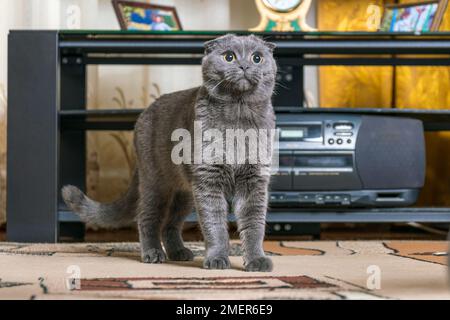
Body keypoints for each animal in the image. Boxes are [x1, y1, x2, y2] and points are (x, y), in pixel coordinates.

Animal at [61, 33, 276, 272]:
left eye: (257, 58)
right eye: (229, 56)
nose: (245, 65)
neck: (238, 116)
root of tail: (144, 112)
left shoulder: (254, 180)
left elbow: (254, 225)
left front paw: (257, 260)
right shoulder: (208, 179)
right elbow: (215, 224)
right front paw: (217, 259)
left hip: (185, 193)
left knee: (170, 225)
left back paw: (179, 252)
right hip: (156, 184)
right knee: (147, 218)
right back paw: (153, 253)